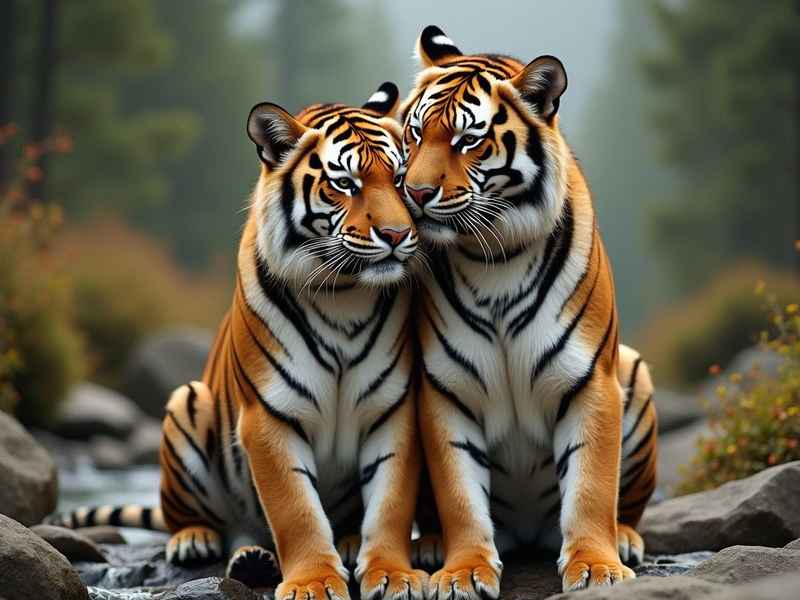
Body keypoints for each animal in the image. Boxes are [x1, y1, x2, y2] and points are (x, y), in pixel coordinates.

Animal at [47, 82, 430, 600]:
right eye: (345, 184)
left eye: (400, 178)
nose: (396, 234)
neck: (345, 294)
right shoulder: (269, 415)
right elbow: (295, 511)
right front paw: (313, 582)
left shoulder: (393, 409)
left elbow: (390, 505)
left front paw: (392, 575)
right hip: (187, 402)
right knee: (204, 521)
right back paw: (209, 544)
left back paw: (335, 543)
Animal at [396, 26, 659, 596]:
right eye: (414, 134)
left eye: (467, 140)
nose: (416, 193)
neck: (493, 255)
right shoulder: (447, 390)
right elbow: (459, 495)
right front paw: (463, 571)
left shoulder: (590, 381)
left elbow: (590, 487)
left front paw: (598, 567)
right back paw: (429, 546)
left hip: (634, 370)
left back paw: (626, 538)